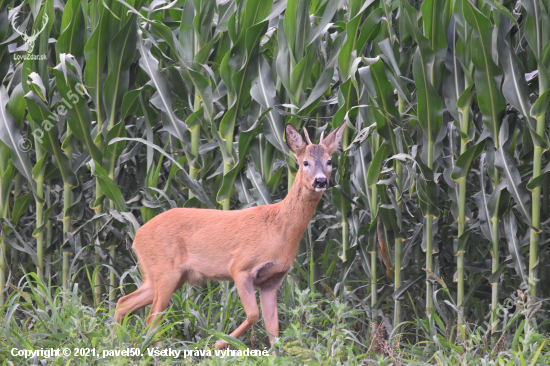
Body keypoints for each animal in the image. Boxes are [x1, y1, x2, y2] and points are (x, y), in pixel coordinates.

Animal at [116, 122, 344, 348]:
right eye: (305, 162)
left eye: (329, 161)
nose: (320, 181)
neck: (278, 229)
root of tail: (137, 236)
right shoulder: (240, 268)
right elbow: (253, 315)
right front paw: (216, 344)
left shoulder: (272, 280)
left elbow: (274, 331)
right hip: (166, 271)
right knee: (152, 318)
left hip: (163, 275)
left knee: (123, 303)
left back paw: (118, 342)